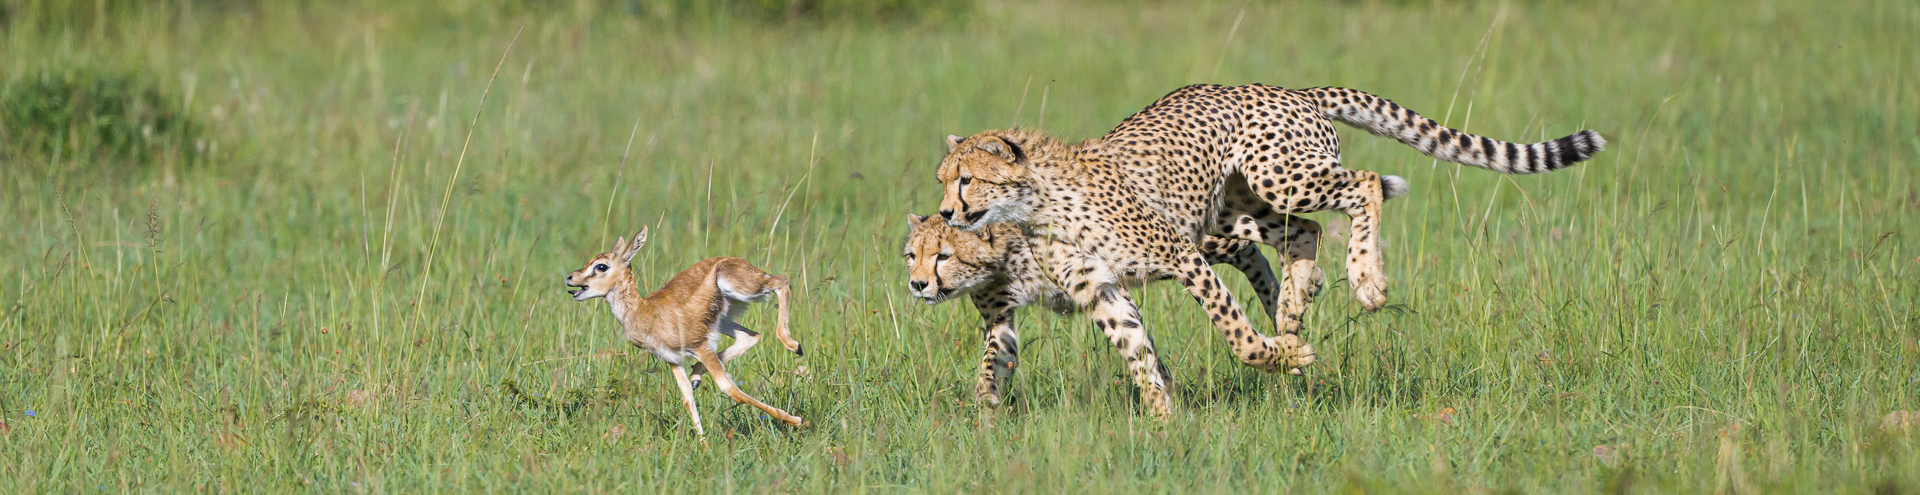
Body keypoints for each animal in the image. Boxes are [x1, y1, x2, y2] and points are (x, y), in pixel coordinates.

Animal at [929, 85, 1605, 418]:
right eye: (943, 179)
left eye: (966, 180)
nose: (946, 213)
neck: (1036, 205)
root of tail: (1284, 86)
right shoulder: (1105, 289)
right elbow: (1138, 352)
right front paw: (1164, 421)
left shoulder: (1182, 254)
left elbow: (1234, 334)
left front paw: (1276, 355)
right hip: (1239, 206)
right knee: (1303, 233)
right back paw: (1295, 304)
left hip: (1277, 177)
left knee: (1363, 185)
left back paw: (1364, 280)